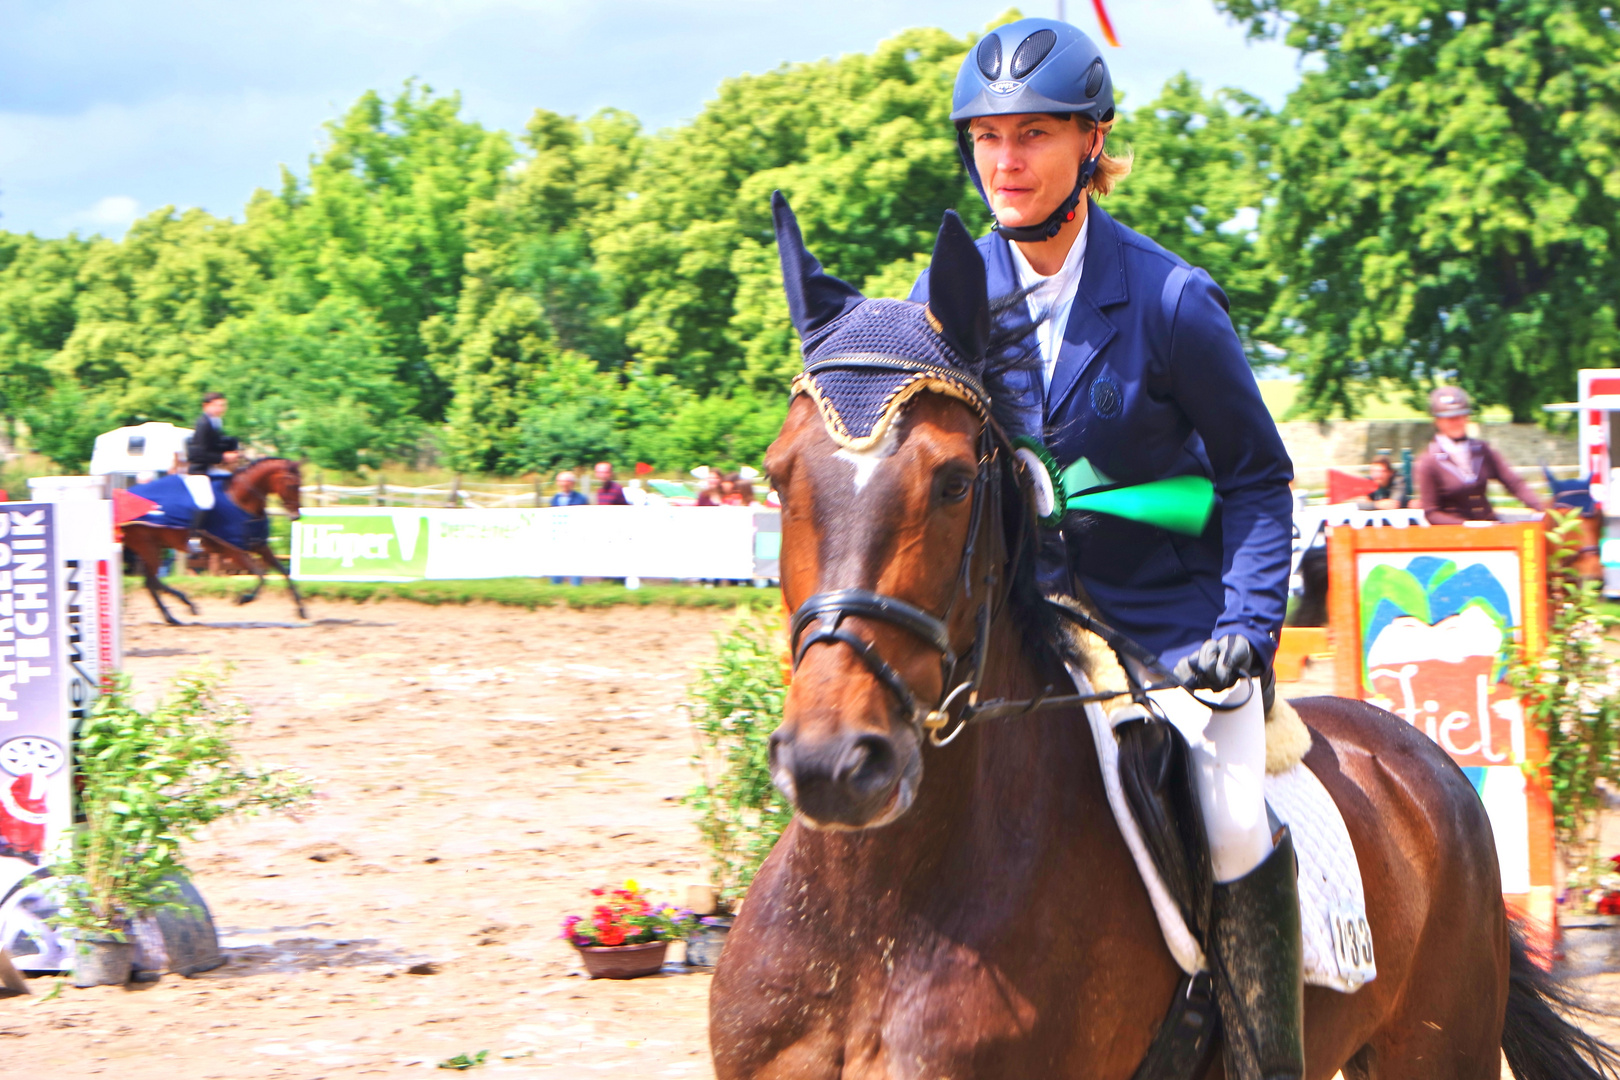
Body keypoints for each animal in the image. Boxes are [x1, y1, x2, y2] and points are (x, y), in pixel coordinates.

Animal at [123, 459, 306, 625]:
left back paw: (179, 610)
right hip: (147, 547)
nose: (296, 516)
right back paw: (179, 611)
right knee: (151, 582)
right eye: (292, 485)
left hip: (153, 547)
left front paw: (301, 609)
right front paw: (244, 598)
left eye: (300, 484)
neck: (241, 501)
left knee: (151, 582)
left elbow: (283, 572)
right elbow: (261, 575)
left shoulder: (260, 545)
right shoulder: (233, 550)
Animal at [712, 196, 1620, 1080]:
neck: (874, 916)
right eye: (777, 474)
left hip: (1439, 1047)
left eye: (955, 481)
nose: (835, 766)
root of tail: (1427, 759)